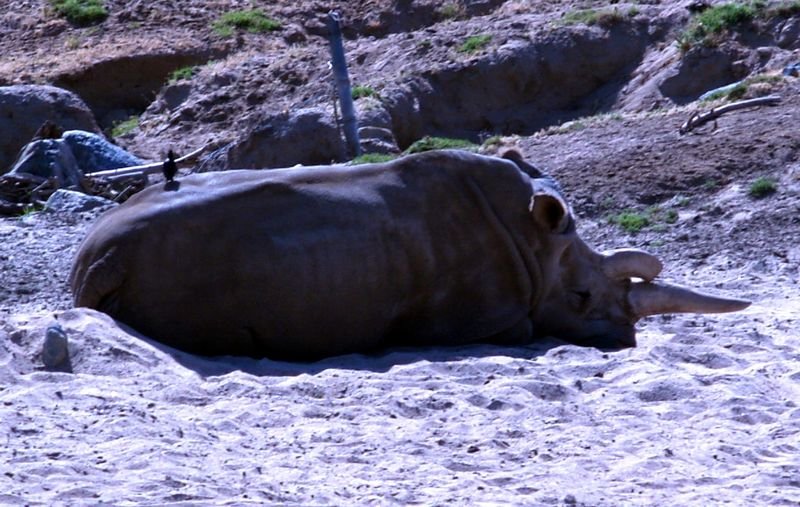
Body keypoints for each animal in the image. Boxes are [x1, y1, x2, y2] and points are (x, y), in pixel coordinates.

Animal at [70, 150, 749, 360]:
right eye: (582, 298)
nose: (625, 342)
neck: (536, 242)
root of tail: (100, 259)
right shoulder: (491, 314)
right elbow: (527, 326)